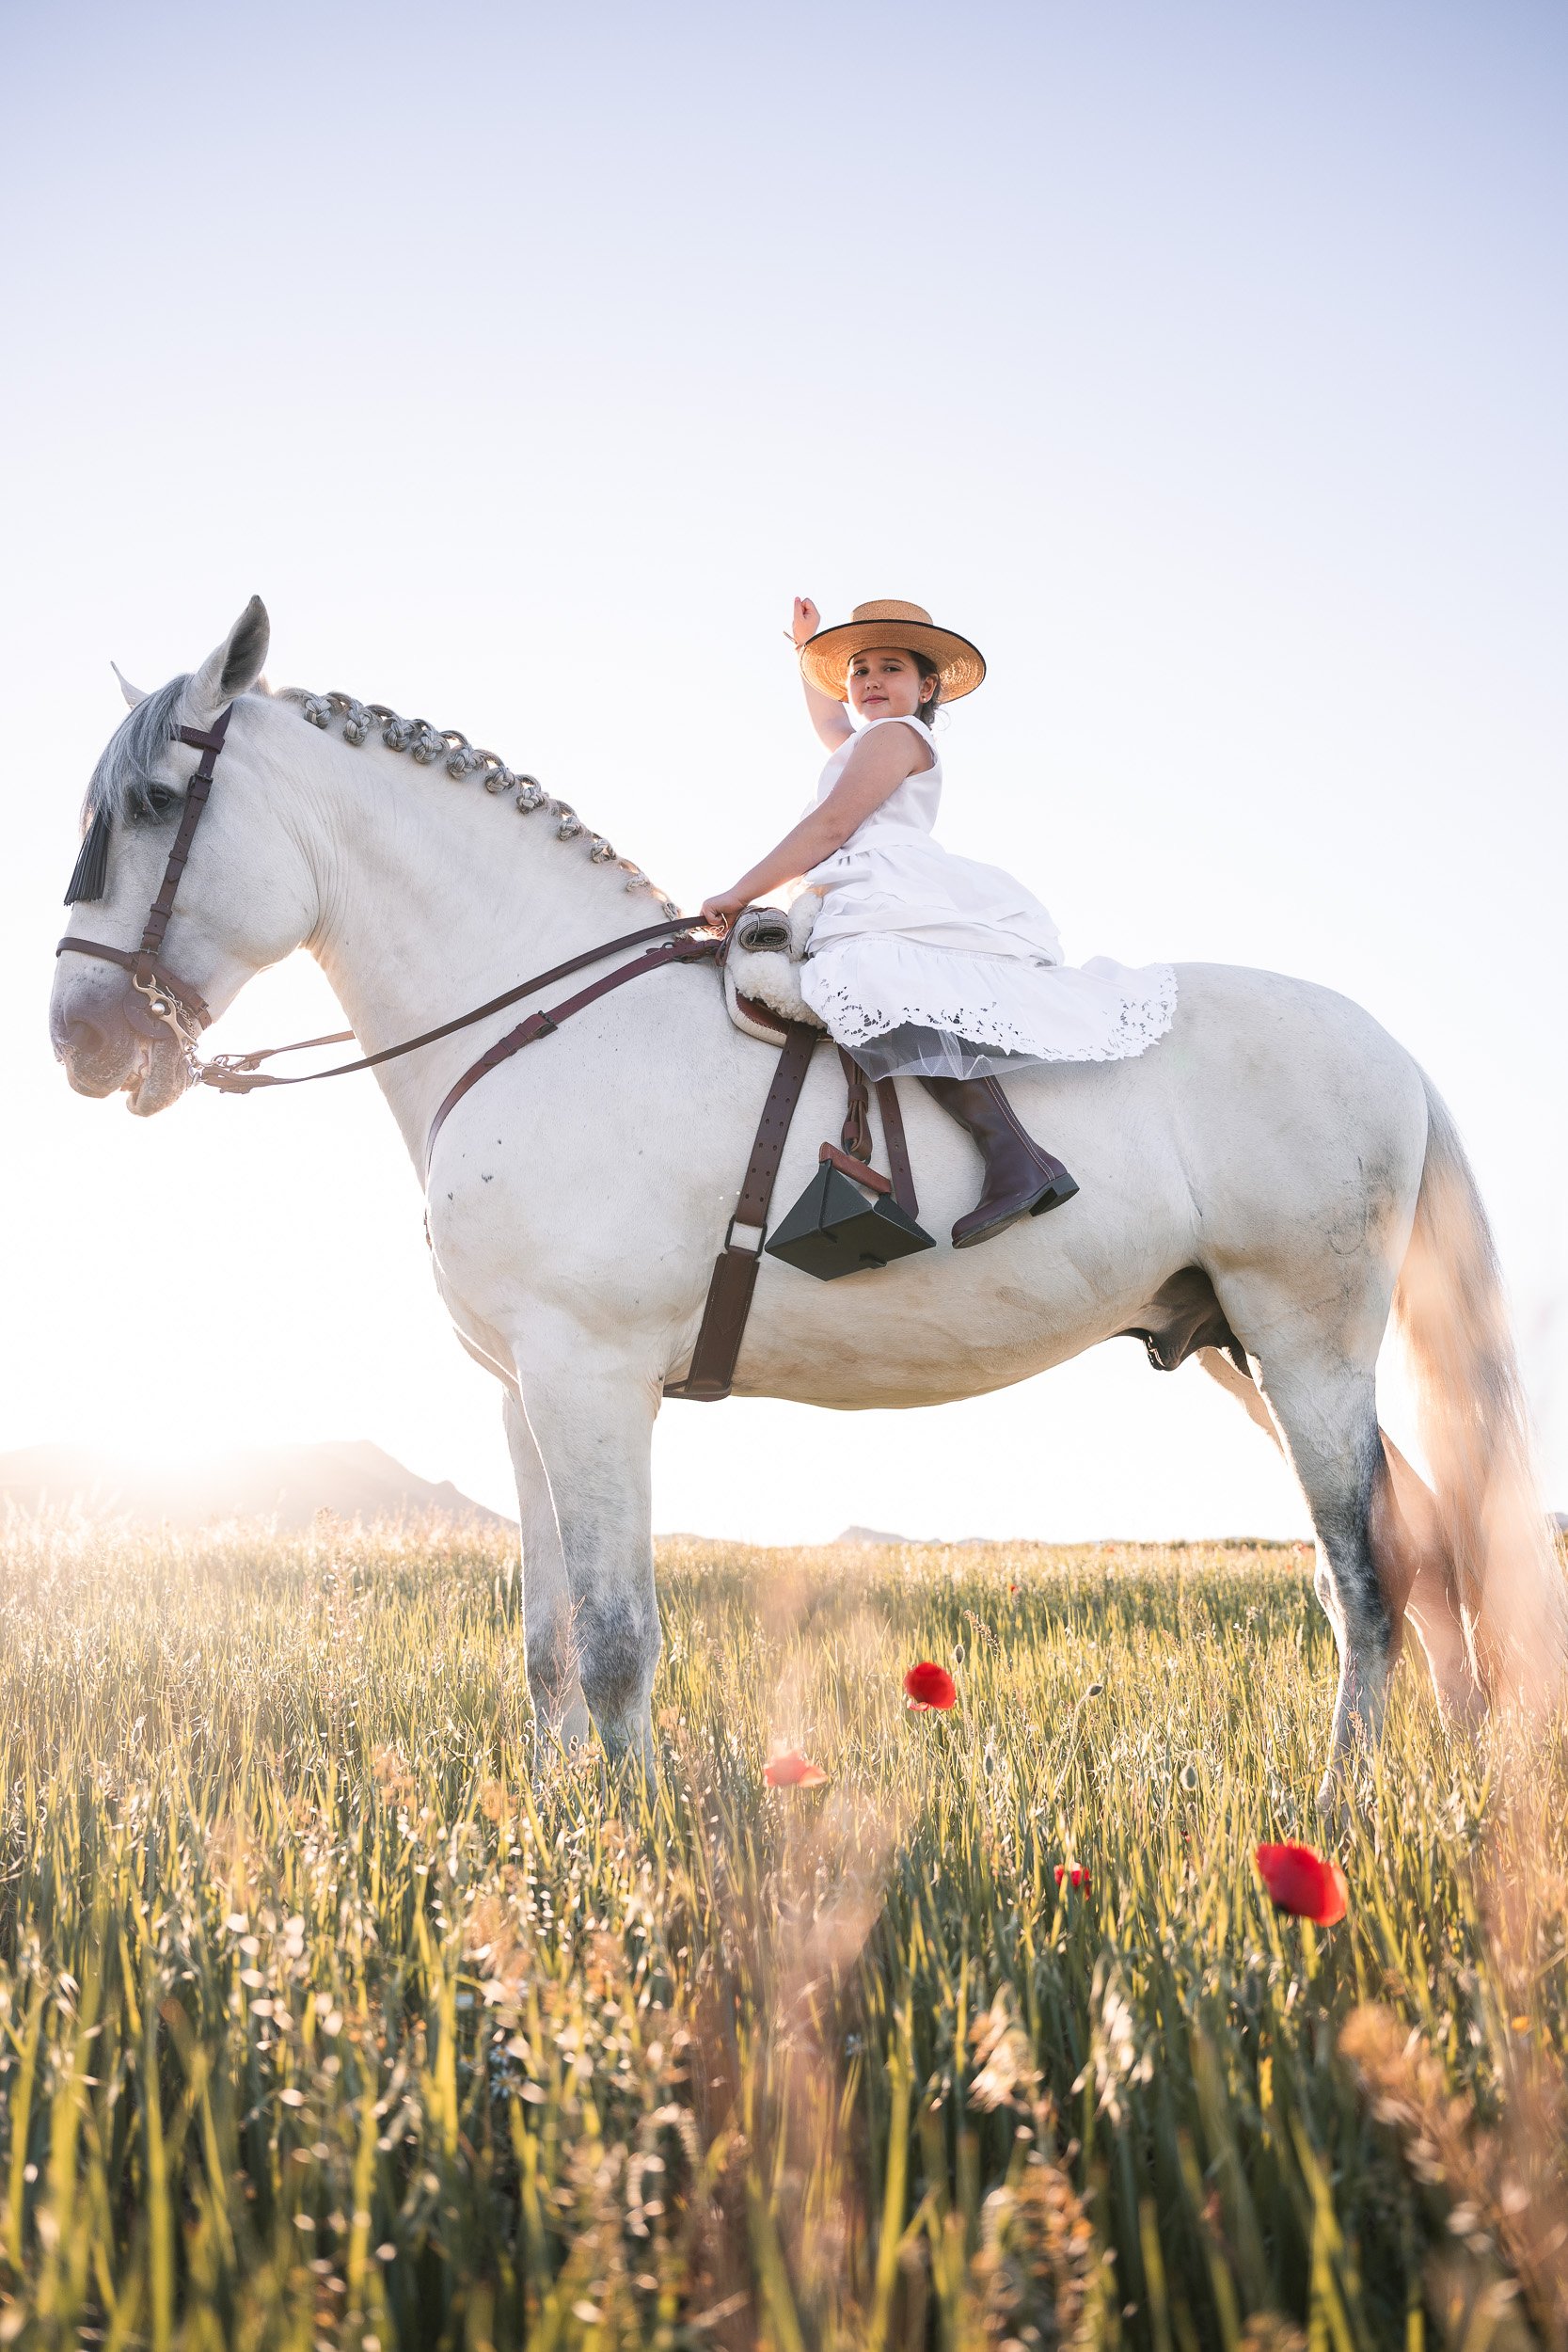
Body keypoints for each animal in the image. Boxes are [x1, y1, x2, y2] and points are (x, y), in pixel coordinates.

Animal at [48, 600, 1565, 1798]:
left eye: (153, 809)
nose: (79, 1041)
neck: (539, 1019)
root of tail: (1383, 1043)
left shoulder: (595, 1380)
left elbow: (617, 1636)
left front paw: (630, 1839)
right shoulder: (523, 1391)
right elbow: (545, 1641)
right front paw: (553, 1824)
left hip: (1306, 1343)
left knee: (1361, 1575)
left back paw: (1337, 1804)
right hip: (1238, 1347)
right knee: (1421, 1549)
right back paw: (1444, 1771)